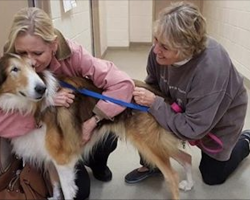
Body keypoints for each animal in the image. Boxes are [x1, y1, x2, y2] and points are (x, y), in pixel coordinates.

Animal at [0, 53, 194, 200]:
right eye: (14, 69)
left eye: (33, 66)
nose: (42, 89)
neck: (28, 106)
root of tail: (156, 96)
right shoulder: (49, 158)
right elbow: (55, 187)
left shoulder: (63, 161)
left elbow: (67, 192)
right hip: (156, 143)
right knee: (186, 157)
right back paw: (189, 184)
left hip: (149, 144)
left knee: (172, 176)